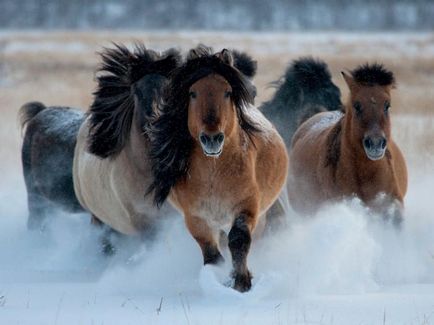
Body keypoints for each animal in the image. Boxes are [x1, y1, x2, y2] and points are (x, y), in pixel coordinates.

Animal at [147, 44, 290, 290]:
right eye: (192, 93)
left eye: (228, 92)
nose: (212, 139)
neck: (214, 175)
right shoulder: (196, 217)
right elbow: (211, 253)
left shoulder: (247, 208)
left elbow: (239, 240)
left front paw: (241, 281)